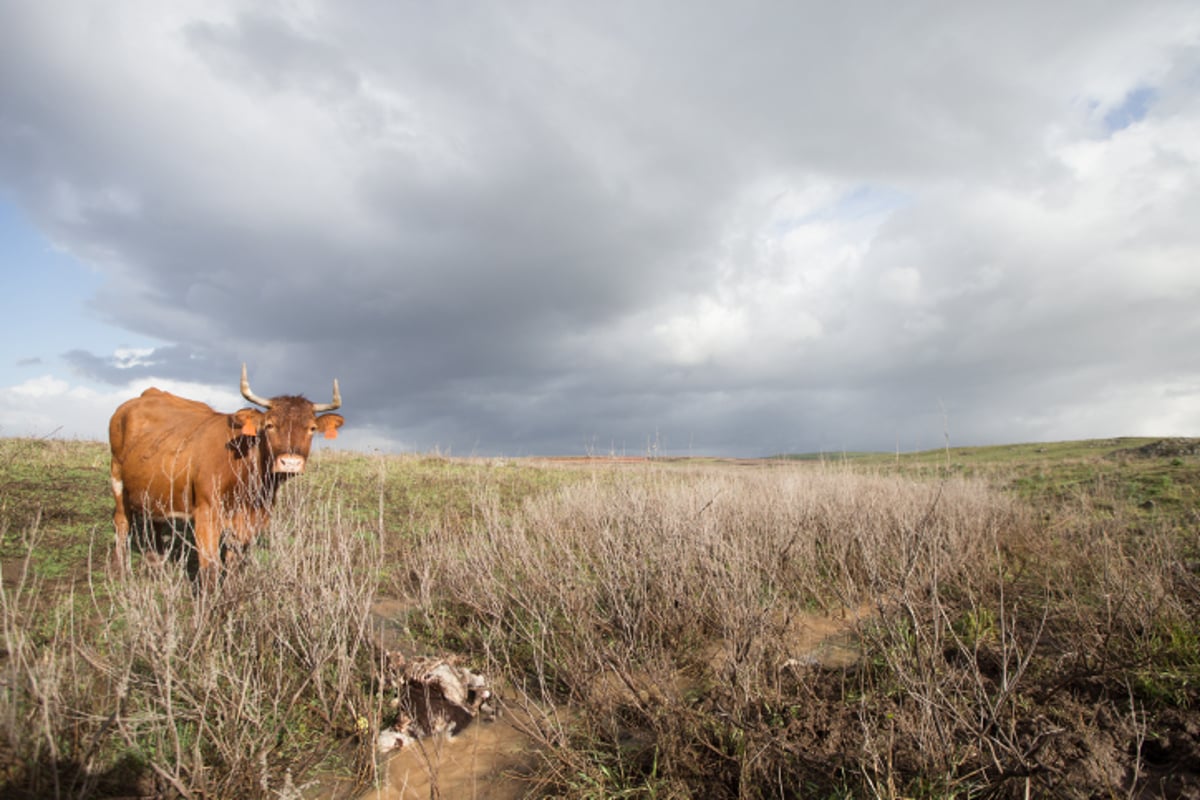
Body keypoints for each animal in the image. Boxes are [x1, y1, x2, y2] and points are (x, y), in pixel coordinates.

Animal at [108, 367, 345, 585]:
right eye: (269, 425)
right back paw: (121, 571)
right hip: (117, 475)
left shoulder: (252, 519)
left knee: (154, 520)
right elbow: (211, 567)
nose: (291, 462)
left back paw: (155, 563)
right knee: (122, 521)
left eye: (312, 428)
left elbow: (234, 563)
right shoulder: (206, 514)